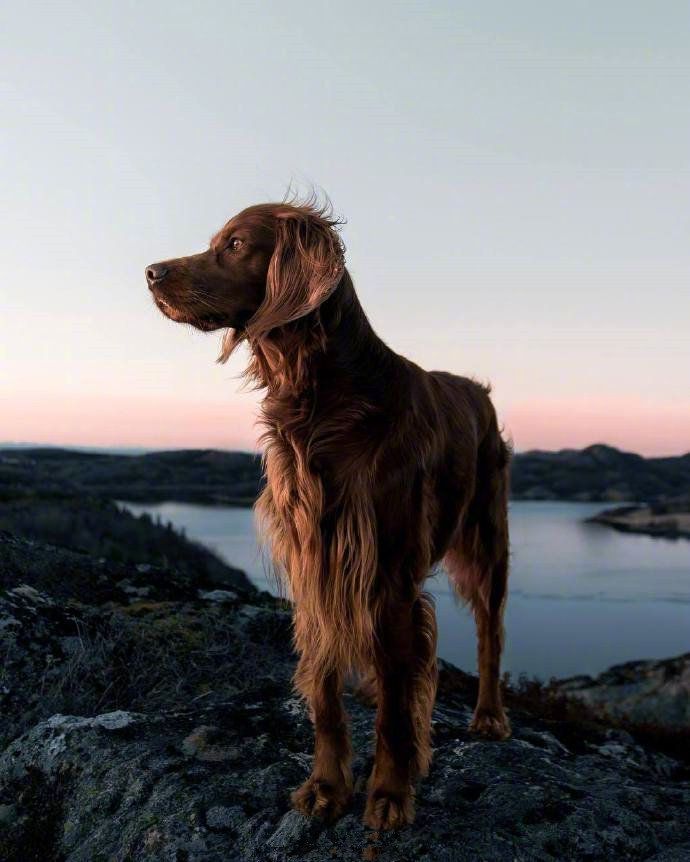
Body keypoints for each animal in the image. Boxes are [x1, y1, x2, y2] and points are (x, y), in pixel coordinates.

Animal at [146, 197, 510, 832]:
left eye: (236, 244)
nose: (151, 272)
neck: (320, 396)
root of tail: (479, 391)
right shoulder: (313, 560)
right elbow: (323, 688)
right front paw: (326, 786)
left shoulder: (387, 572)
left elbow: (396, 712)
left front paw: (388, 793)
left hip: (488, 540)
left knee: (488, 632)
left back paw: (488, 715)